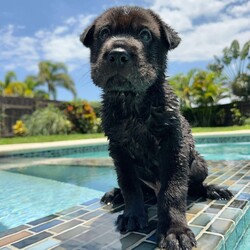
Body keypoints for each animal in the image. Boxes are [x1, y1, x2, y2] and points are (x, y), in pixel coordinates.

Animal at [80, 6, 232, 250]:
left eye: (145, 35)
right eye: (104, 33)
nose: (117, 54)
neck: (133, 102)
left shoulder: (174, 147)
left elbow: (173, 191)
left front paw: (174, 230)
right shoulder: (119, 151)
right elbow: (129, 186)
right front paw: (132, 215)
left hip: (198, 164)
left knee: (193, 187)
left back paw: (213, 189)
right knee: (141, 190)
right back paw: (116, 194)